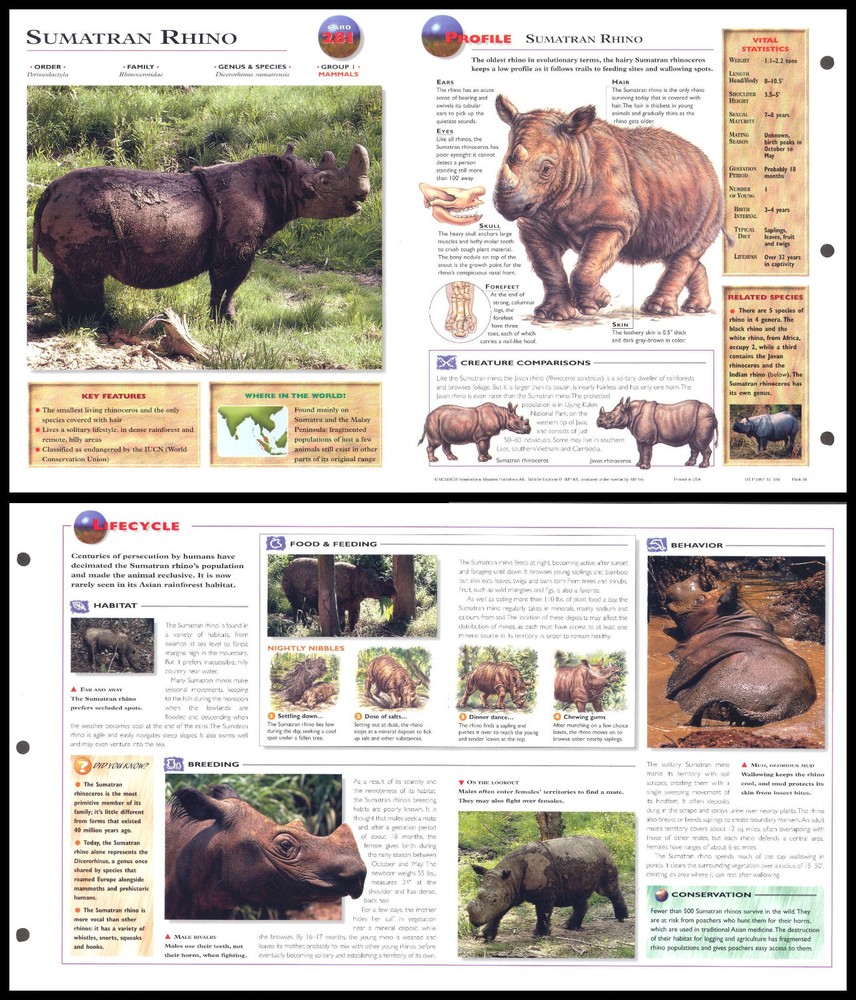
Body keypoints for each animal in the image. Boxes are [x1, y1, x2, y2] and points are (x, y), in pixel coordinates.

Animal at [32, 144, 370, 324]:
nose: (363, 194)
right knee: (89, 277)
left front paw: (219, 319)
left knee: (65, 272)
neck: (280, 183)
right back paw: (100, 324)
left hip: (70, 208)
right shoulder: (238, 248)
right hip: (82, 210)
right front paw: (229, 321)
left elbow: (222, 286)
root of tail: (49, 191)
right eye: (324, 183)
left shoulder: (232, 249)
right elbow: (228, 285)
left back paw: (68, 323)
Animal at [466, 836, 627, 940]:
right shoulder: (508, 891)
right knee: (579, 896)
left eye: (494, 899)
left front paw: (539, 935)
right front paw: (484, 936)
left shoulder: (544, 894)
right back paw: (569, 927)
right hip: (583, 860)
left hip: (605, 858)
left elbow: (542, 913)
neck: (512, 874)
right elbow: (498, 913)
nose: (474, 922)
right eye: (478, 895)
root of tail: (602, 843)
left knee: (607, 890)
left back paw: (622, 918)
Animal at [493, 96, 729, 321]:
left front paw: (598, 302)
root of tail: (707, 164)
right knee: (673, 251)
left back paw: (658, 310)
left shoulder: (614, 220)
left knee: (686, 252)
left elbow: (589, 264)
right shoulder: (535, 224)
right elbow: (548, 268)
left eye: (547, 169)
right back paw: (694, 308)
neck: (575, 152)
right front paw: (553, 315)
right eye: (505, 160)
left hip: (713, 199)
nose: (507, 206)